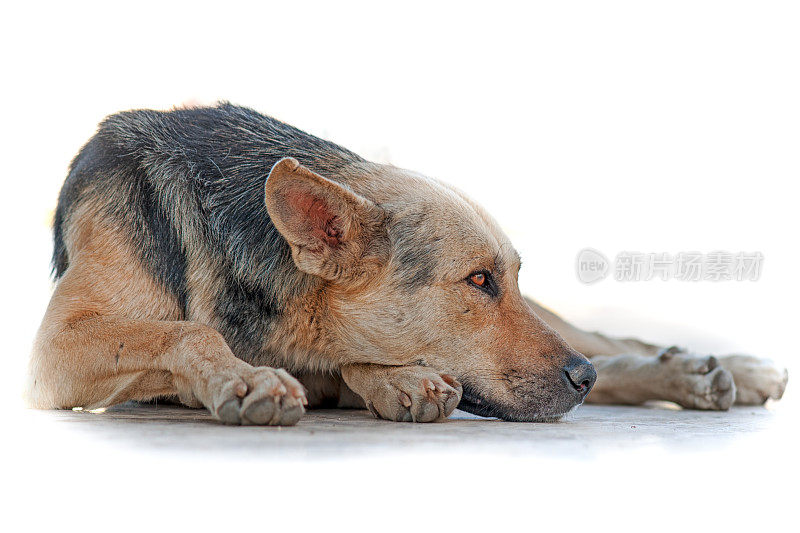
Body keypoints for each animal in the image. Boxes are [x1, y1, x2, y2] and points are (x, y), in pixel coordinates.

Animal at [26, 102, 788, 422]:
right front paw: (249, 378)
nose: (581, 378)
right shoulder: (55, 352)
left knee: (612, 339)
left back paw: (710, 371)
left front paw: (395, 378)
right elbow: (189, 332)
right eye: (478, 281)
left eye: (510, 277)